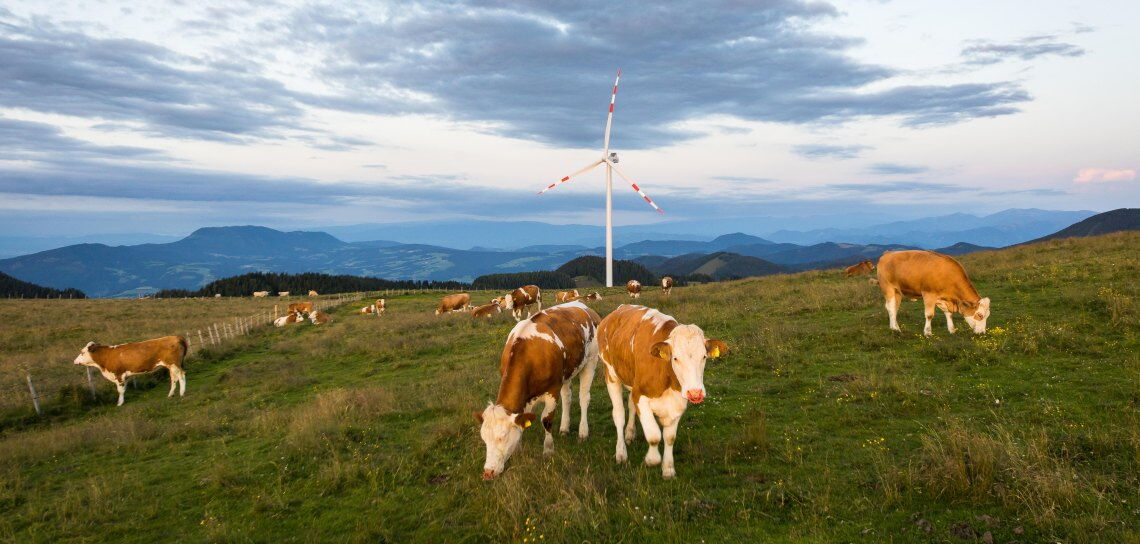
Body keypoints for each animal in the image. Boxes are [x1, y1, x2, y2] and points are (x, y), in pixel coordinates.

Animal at [474, 301, 601, 479]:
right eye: (484, 438)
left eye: (503, 437)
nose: (488, 472)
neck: (528, 355)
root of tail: (583, 305)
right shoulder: (526, 397)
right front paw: (518, 449)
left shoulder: (552, 390)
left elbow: (546, 420)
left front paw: (548, 450)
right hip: (566, 373)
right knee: (567, 397)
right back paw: (564, 427)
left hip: (590, 361)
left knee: (584, 397)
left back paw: (583, 432)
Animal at [597, 305, 728, 479]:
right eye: (675, 358)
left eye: (704, 357)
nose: (695, 392)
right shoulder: (641, 395)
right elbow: (653, 436)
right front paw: (651, 459)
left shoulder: (678, 402)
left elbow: (669, 437)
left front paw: (668, 469)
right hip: (611, 374)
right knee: (618, 414)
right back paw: (621, 453)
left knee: (631, 406)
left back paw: (630, 433)